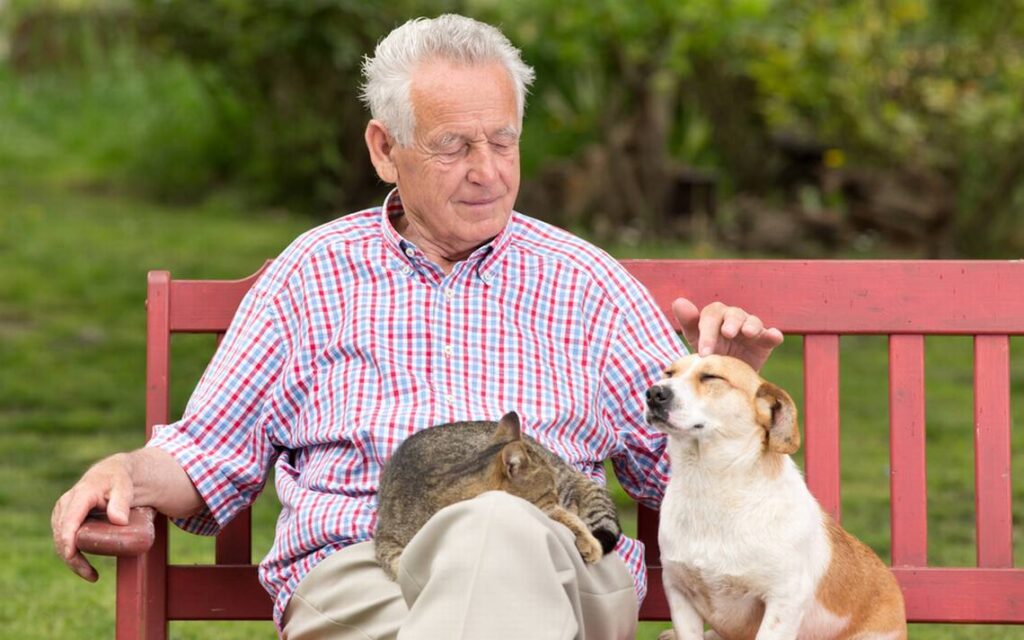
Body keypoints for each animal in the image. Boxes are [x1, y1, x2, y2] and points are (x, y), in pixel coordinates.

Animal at [372, 409, 618, 577]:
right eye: (550, 490)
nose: (557, 495)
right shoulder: (386, 542)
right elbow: (401, 565)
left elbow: (570, 519)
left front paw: (588, 543)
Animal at [647, 354, 905, 638]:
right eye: (669, 373)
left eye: (711, 377)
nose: (654, 392)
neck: (711, 485)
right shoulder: (678, 591)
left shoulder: (784, 601)